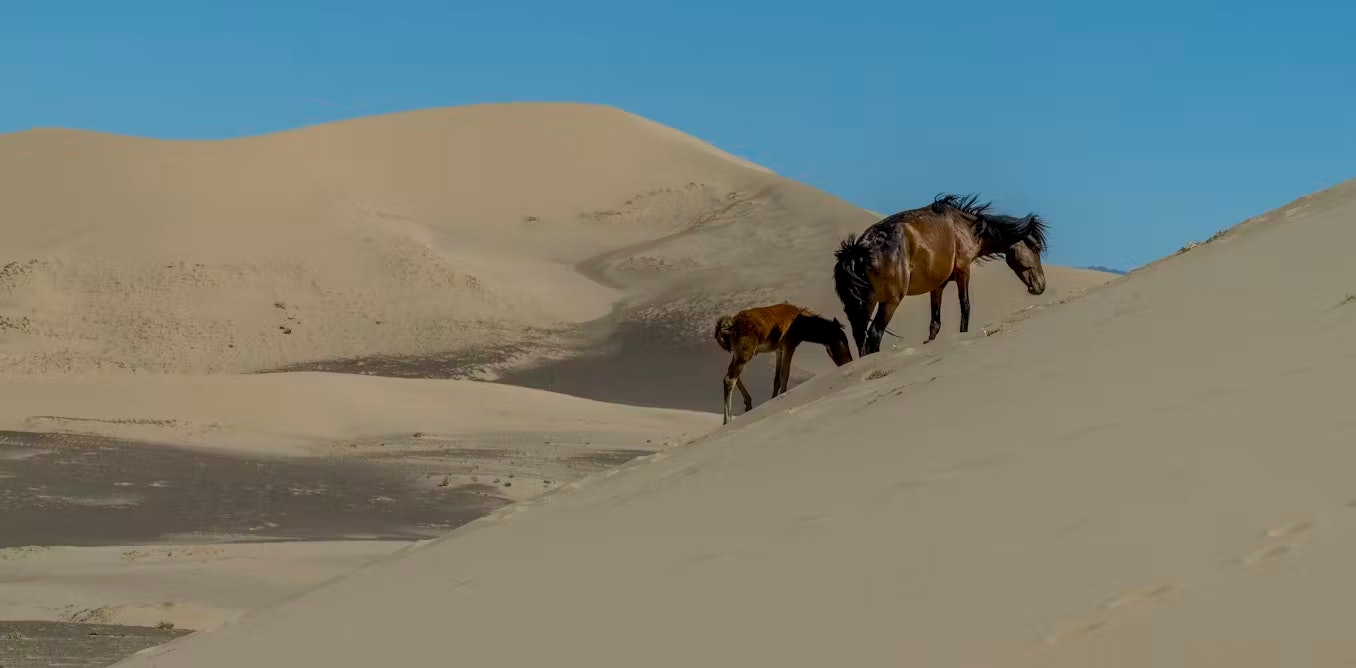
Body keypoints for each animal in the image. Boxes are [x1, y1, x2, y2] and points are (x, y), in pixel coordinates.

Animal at [835, 192, 1046, 357]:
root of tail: (859, 248)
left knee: (860, 337)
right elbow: (965, 306)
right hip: (890, 300)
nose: (1041, 286)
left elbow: (935, 323)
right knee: (874, 336)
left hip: (867, 301)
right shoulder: (963, 271)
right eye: (1035, 249)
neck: (966, 228)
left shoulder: (937, 286)